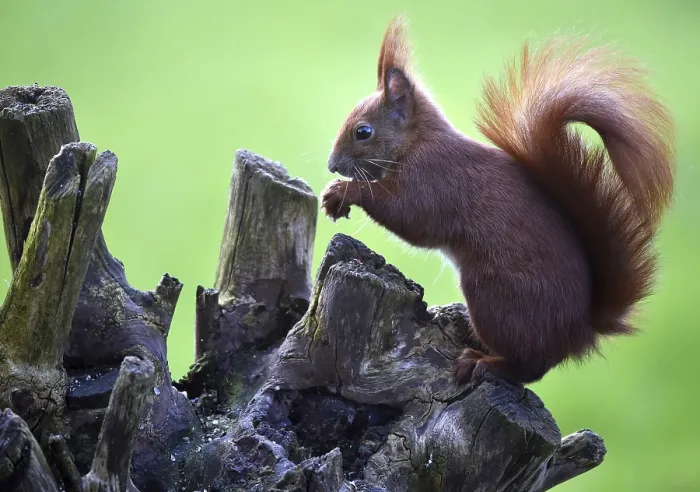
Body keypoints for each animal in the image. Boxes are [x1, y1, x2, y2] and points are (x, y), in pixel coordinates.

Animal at [320, 16, 676, 385]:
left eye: (363, 132)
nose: (332, 165)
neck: (418, 141)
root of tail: (579, 332)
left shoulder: (435, 179)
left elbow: (408, 215)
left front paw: (343, 191)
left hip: (493, 297)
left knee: (529, 367)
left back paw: (485, 362)